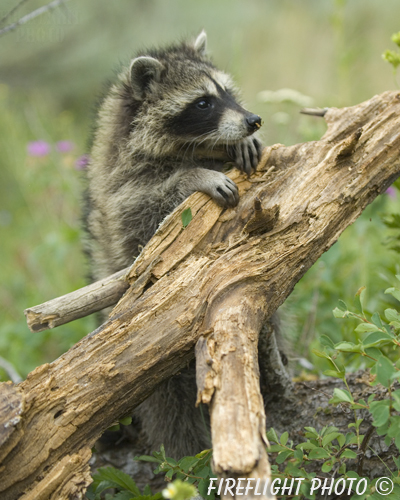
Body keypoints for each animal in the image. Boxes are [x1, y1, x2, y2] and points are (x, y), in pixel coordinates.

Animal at [84, 31, 264, 458]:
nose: (253, 120)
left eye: (226, 92)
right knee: (169, 406)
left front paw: (244, 142)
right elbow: (147, 215)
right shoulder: (123, 192)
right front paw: (193, 176)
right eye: (202, 102)